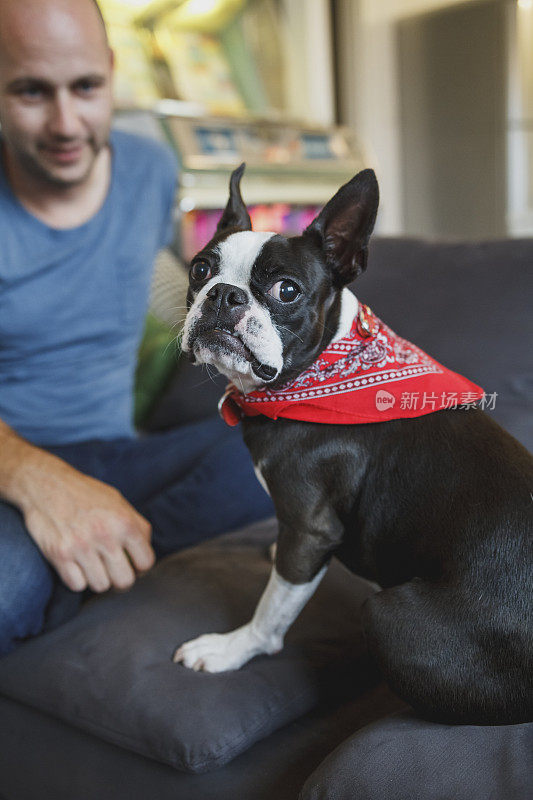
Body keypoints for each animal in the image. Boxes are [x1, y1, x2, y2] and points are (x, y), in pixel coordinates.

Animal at [175, 164, 532, 724]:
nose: (223, 294)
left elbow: (272, 609)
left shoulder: (311, 527)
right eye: (199, 269)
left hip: (387, 614)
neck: (319, 374)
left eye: (286, 290)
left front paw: (233, 648)